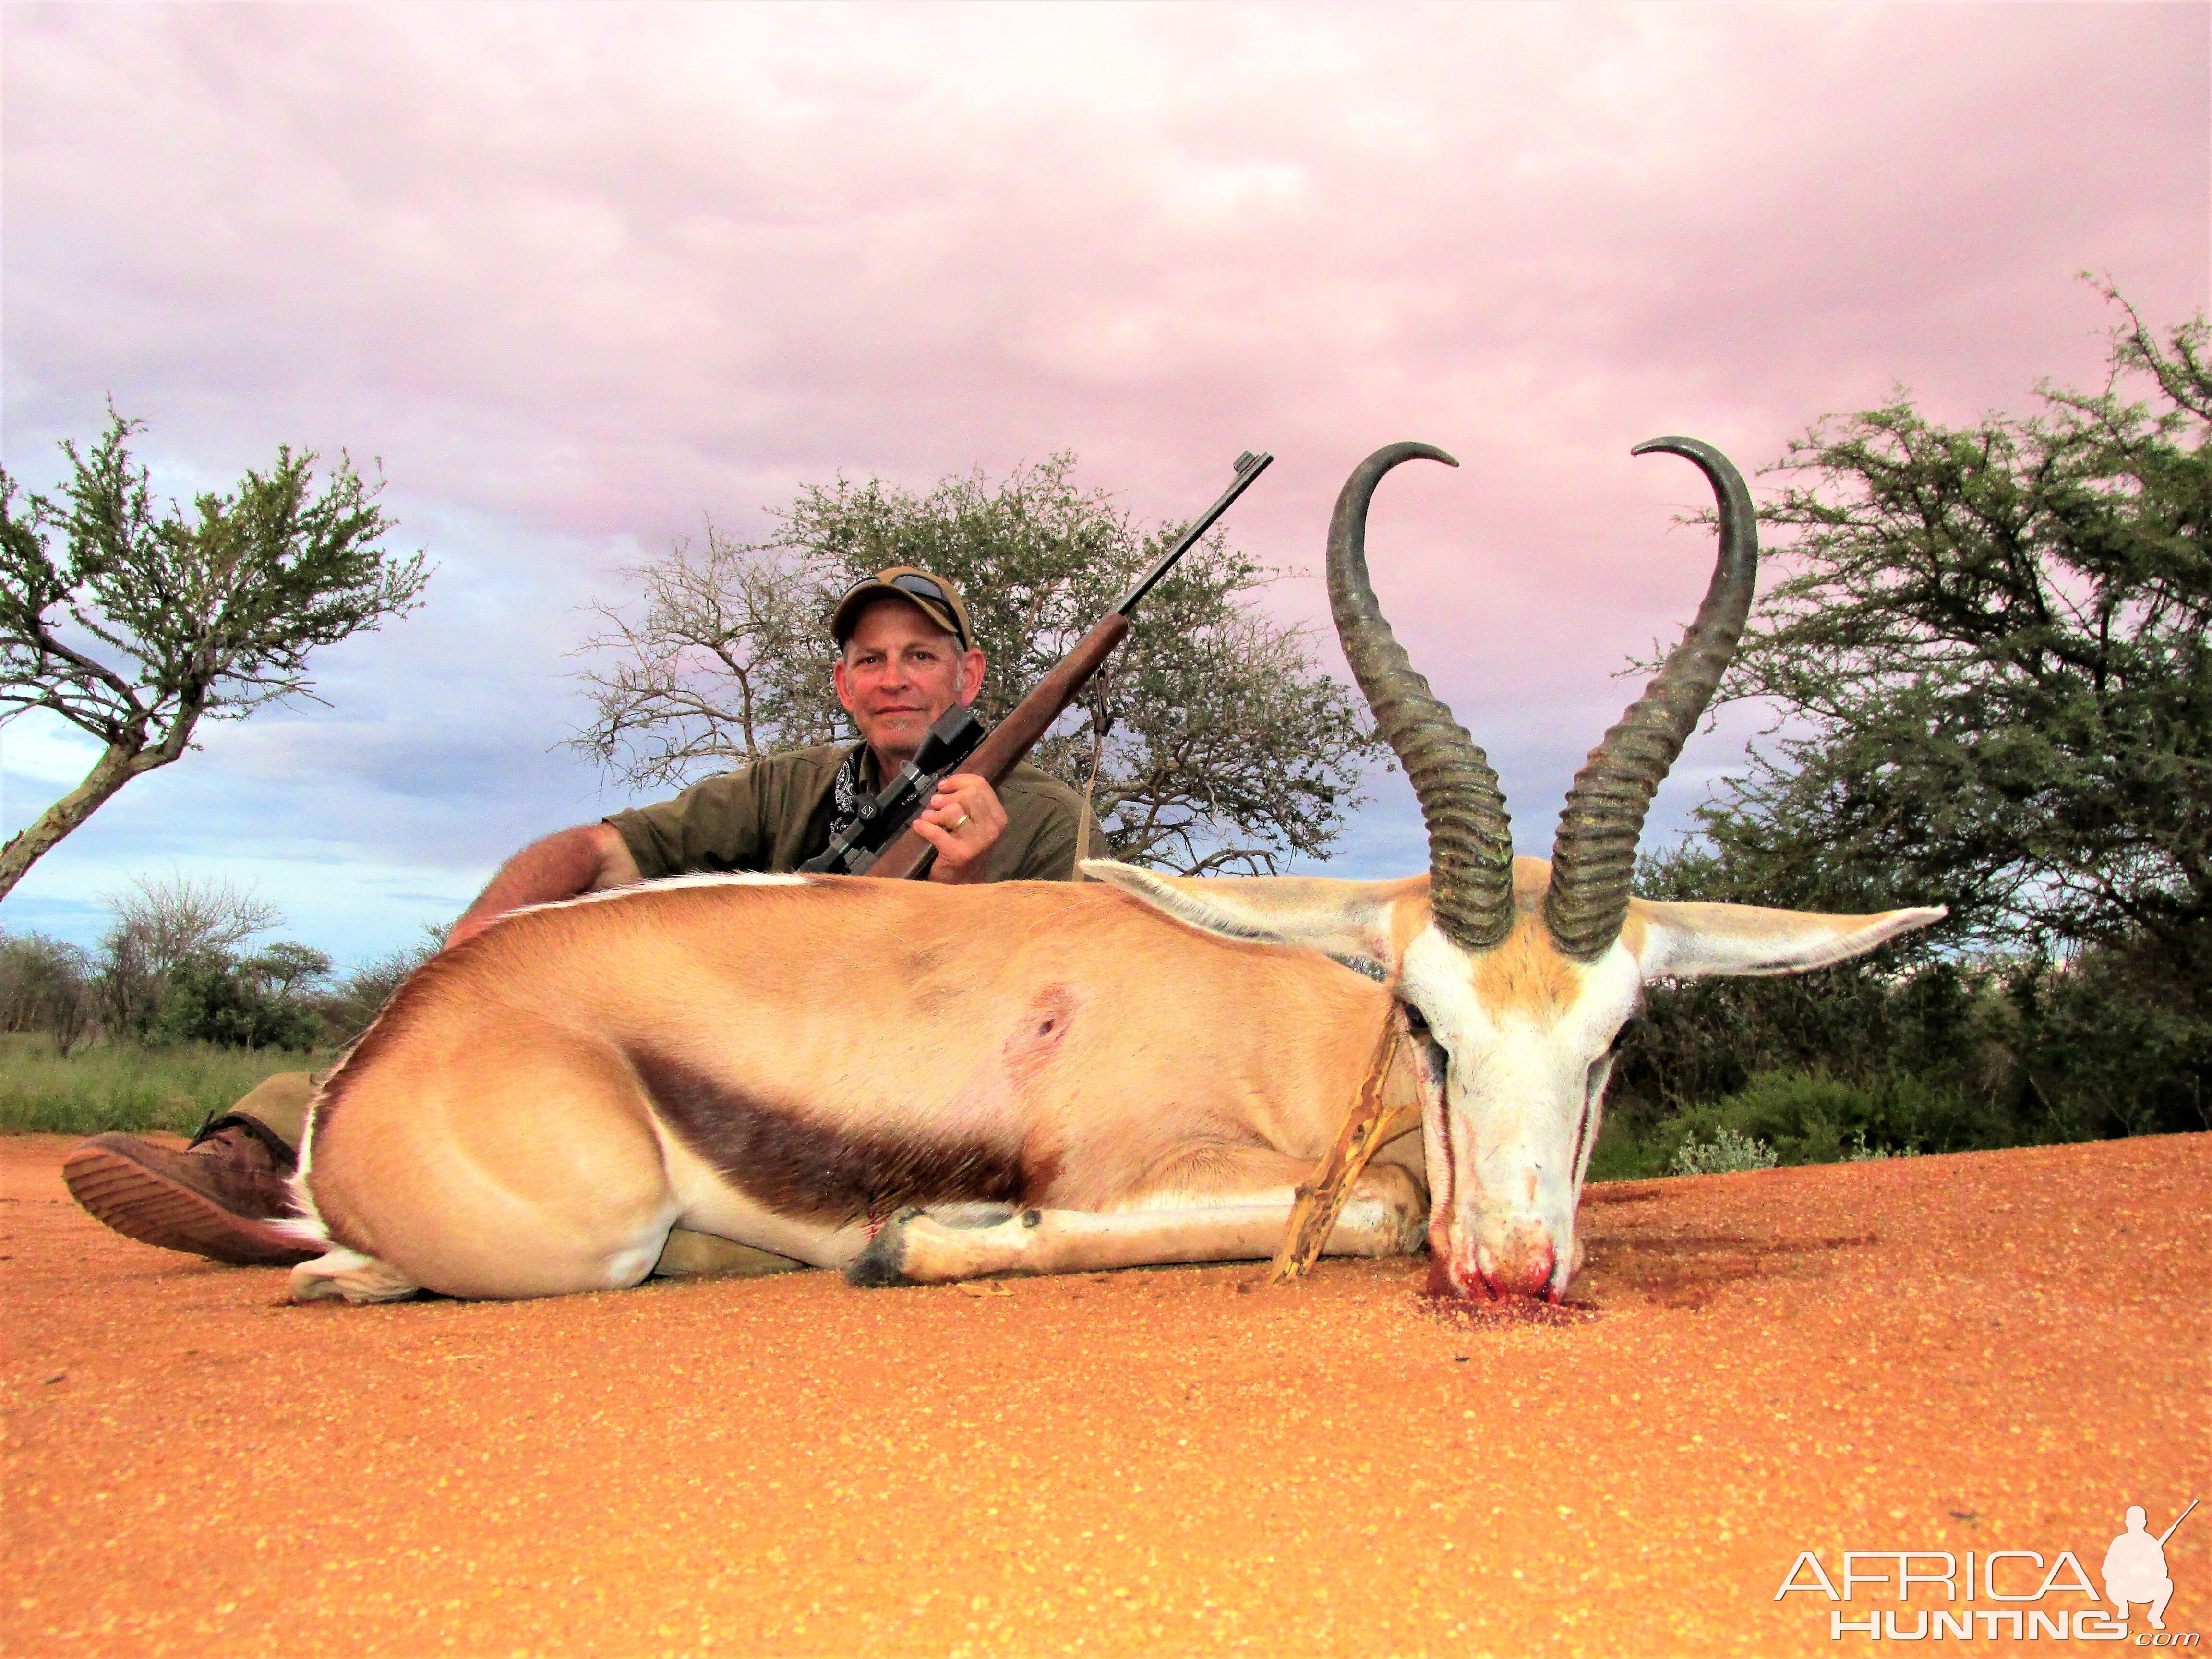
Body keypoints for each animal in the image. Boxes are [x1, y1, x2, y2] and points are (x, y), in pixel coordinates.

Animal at [289, 442, 1937, 1309]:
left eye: (1617, 1043)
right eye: (1424, 1021)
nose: (1515, 1273)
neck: (1292, 1013)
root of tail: (406, 1024)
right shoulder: (1152, 1169)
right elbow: (1362, 1208)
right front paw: (918, 1239)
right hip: (595, 1227)